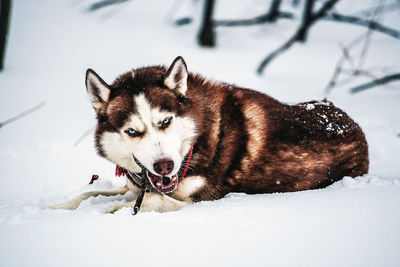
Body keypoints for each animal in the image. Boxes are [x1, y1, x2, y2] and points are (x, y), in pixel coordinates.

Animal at [52, 56, 368, 214]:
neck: (196, 142)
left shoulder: (203, 199)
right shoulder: (136, 183)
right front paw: (56, 207)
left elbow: (155, 200)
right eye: (132, 131)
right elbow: (92, 192)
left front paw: (120, 209)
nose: (164, 166)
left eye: (165, 121)